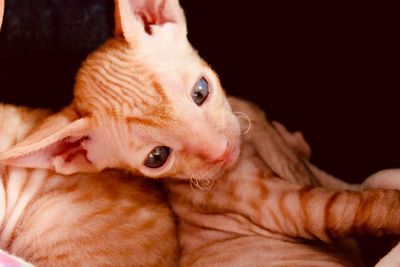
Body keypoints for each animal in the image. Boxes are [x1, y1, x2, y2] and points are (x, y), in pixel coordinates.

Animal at [0, 0, 400, 266]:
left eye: (201, 90)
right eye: (157, 157)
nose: (222, 151)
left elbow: (362, 178)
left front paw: (294, 140)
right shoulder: (289, 208)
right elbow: (359, 204)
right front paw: (390, 208)